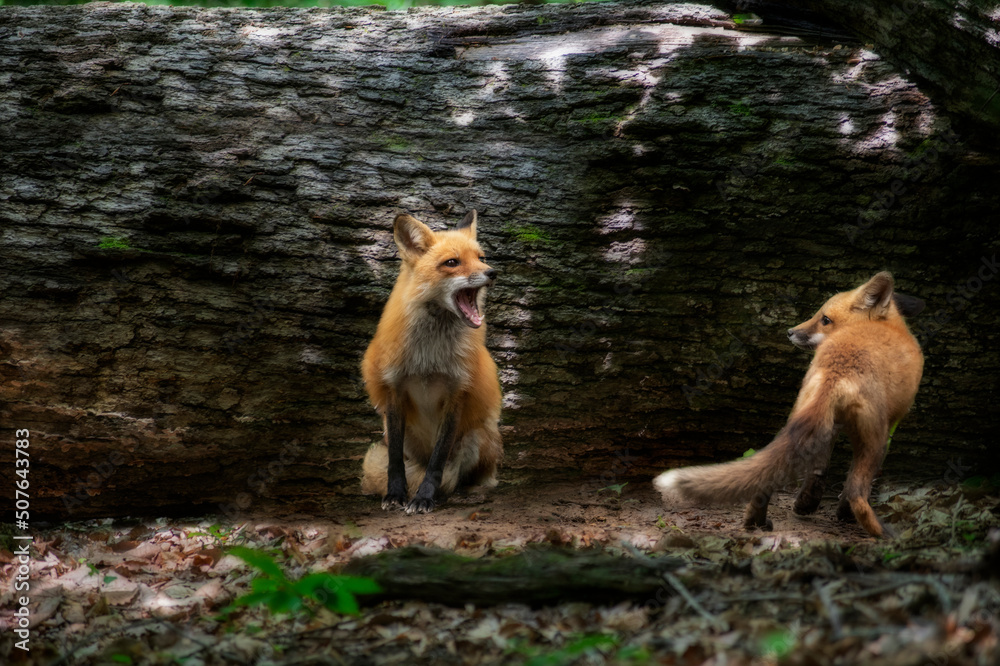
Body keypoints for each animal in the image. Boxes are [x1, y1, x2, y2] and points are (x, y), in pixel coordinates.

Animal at [360, 210, 503, 514]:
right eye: (452, 262)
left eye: (481, 257)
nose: (492, 272)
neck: (430, 357)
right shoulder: (395, 390)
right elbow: (394, 461)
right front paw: (395, 494)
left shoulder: (457, 393)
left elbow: (437, 463)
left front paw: (424, 497)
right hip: (394, 430)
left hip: (476, 437)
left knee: (466, 477)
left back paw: (466, 493)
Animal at [655, 272, 925, 538]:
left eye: (825, 319)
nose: (789, 331)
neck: (887, 325)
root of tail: (839, 370)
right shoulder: (889, 429)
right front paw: (838, 511)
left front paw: (812, 504)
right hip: (871, 441)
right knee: (856, 491)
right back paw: (882, 533)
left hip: (802, 420)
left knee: (783, 474)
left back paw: (760, 520)